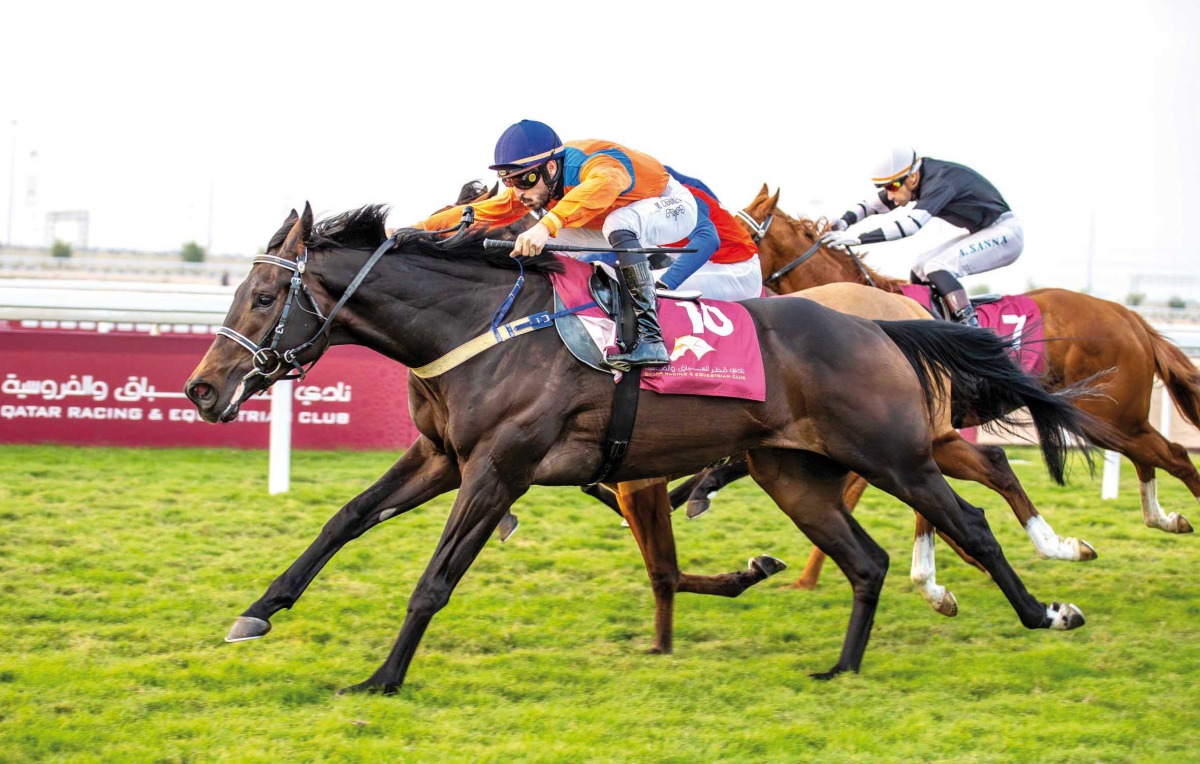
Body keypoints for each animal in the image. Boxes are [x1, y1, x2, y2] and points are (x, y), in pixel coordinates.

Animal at [184, 202, 1099, 690]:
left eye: (262, 295)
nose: (200, 389)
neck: (478, 327)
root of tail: (883, 328)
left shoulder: (498, 471)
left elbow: (434, 580)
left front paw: (382, 677)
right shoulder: (442, 458)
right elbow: (342, 519)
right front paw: (257, 611)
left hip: (894, 454)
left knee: (970, 521)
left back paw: (1045, 609)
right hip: (793, 473)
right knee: (865, 559)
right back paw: (842, 667)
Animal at [739, 185, 1200, 590]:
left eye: (742, 238)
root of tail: (1130, 317)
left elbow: (867, 496)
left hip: (1108, 414)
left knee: (1174, 455)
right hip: (1112, 416)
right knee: (1151, 457)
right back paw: (1164, 518)